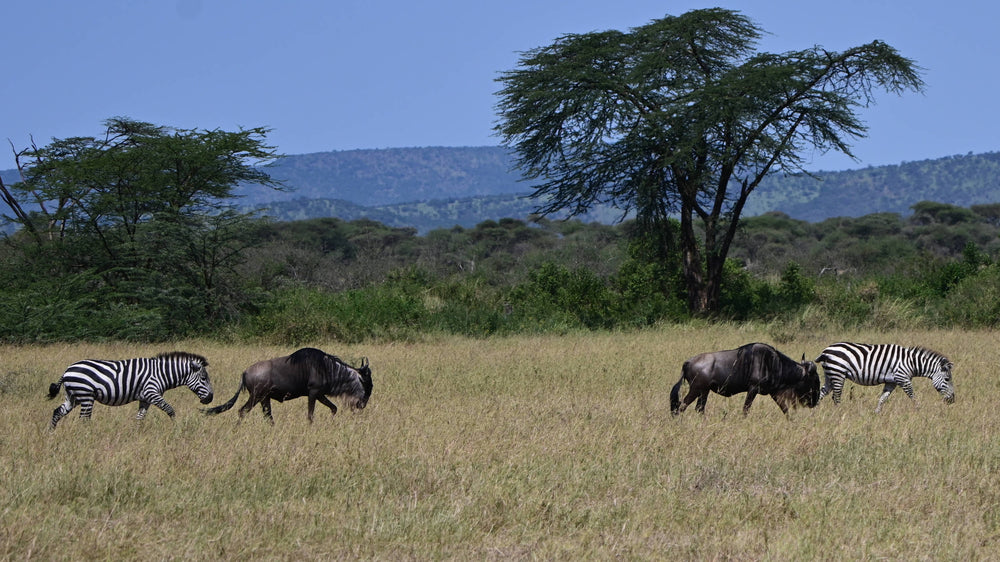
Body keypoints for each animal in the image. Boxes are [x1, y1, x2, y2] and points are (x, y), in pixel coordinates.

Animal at [47, 351, 214, 429]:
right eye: (204, 379)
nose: (210, 398)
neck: (161, 373)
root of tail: (67, 370)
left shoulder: (145, 398)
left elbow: (139, 418)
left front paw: (136, 434)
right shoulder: (152, 393)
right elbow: (170, 410)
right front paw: (176, 428)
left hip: (73, 396)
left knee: (57, 412)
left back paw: (51, 433)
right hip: (86, 396)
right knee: (84, 419)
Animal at [815, 343, 955, 412]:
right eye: (947, 380)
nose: (952, 400)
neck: (912, 363)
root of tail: (825, 351)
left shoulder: (891, 382)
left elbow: (883, 398)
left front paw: (876, 413)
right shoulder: (903, 378)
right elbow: (912, 395)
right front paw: (918, 409)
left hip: (830, 374)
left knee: (822, 392)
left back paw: (814, 411)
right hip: (838, 373)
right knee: (836, 396)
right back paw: (839, 412)